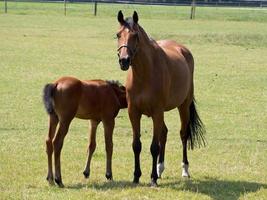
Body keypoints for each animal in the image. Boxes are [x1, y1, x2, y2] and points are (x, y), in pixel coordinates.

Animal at [116, 10, 206, 186]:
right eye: (117, 35)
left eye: (135, 35)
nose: (124, 60)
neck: (145, 74)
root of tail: (183, 49)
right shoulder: (133, 112)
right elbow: (137, 145)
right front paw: (136, 176)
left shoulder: (157, 112)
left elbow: (154, 147)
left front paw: (152, 179)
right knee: (164, 133)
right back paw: (159, 169)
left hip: (183, 106)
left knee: (183, 134)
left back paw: (184, 170)